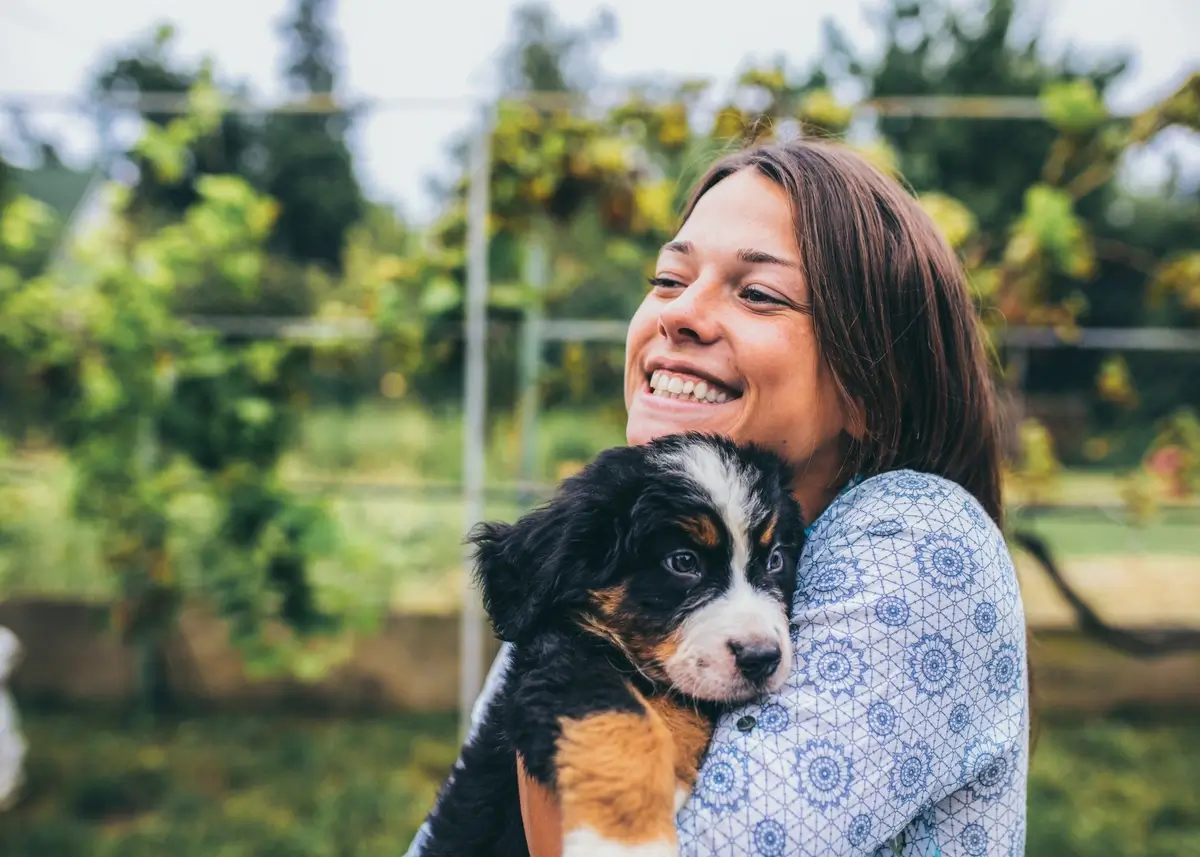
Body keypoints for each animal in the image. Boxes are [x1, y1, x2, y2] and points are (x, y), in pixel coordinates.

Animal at [417, 429, 801, 854]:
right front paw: (627, 839)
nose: (762, 657)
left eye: (775, 560)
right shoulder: (562, 663)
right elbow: (621, 720)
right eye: (683, 562)